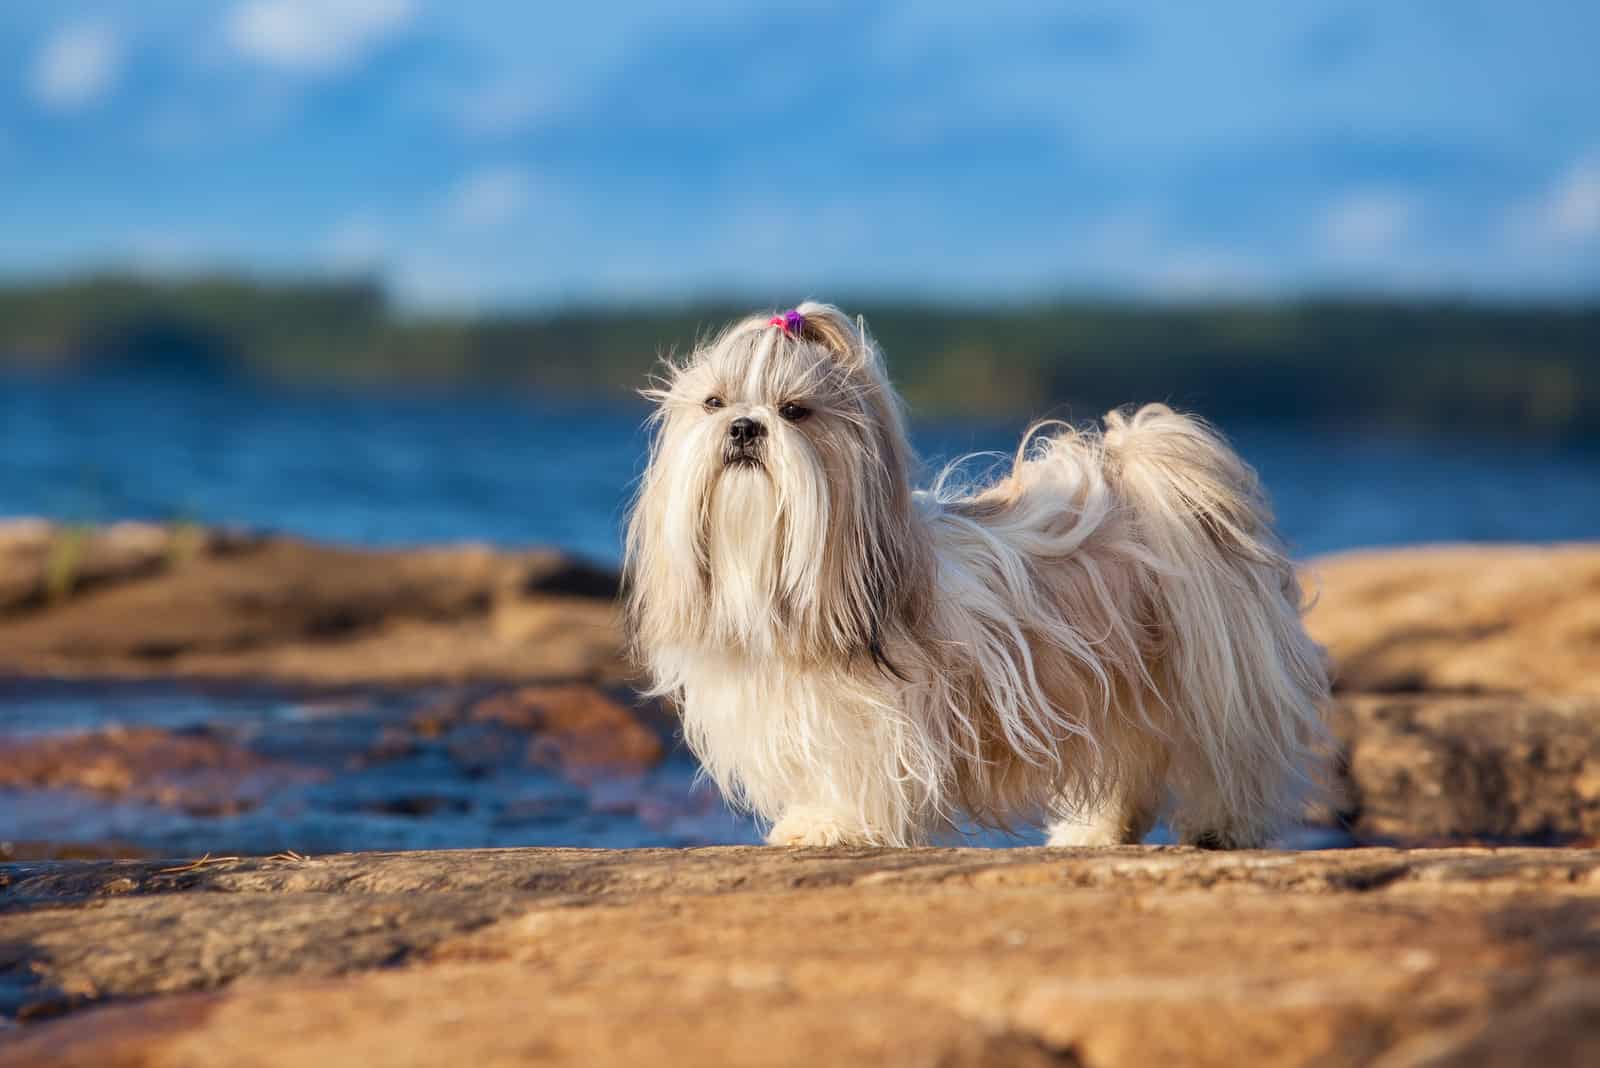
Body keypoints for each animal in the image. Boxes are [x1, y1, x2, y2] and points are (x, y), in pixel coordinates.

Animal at [620, 302, 1324, 850]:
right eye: (714, 402)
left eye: (794, 411)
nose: (744, 426)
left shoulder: (879, 721)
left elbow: (858, 773)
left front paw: (832, 824)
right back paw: (1094, 831)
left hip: (1213, 678)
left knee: (1233, 755)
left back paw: (1223, 825)